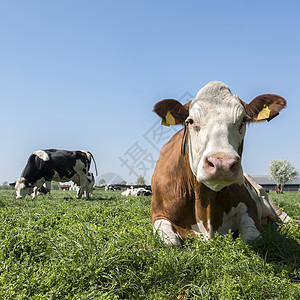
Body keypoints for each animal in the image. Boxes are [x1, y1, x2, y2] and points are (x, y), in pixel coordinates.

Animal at [151, 81, 288, 245]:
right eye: (190, 121)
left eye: (243, 120)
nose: (222, 164)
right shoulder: (158, 214)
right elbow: (171, 241)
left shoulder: (249, 206)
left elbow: (251, 237)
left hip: (266, 198)